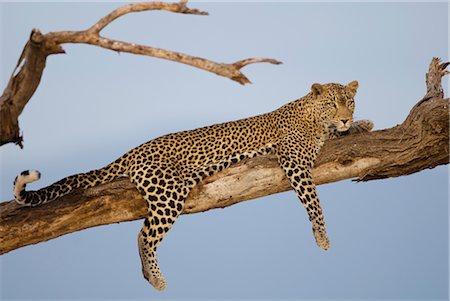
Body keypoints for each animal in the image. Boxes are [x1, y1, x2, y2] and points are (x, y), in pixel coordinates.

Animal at [14, 80, 372, 290]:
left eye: (350, 102)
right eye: (332, 103)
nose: (345, 116)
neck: (314, 118)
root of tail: (132, 152)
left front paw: (361, 125)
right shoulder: (295, 163)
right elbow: (314, 201)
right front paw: (322, 238)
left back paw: (148, 276)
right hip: (169, 193)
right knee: (144, 235)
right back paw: (157, 279)